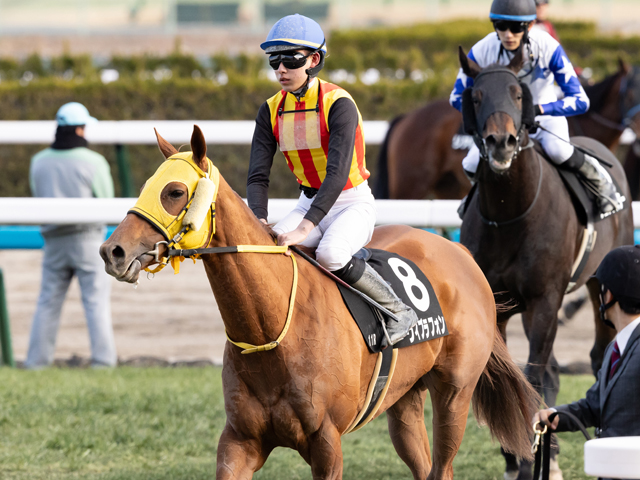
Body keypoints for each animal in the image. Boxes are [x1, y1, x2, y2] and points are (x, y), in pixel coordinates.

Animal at [100, 125, 540, 480]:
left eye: (174, 191)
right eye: (146, 185)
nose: (112, 251)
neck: (273, 327)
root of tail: (458, 251)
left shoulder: (327, 443)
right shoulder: (239, 440)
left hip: (454, 394)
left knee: (443, 462)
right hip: (403, 400)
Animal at [456, 48, 634, 479]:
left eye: (519, 94)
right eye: (476, 96)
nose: (500, 142)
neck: (511, 213)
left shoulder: (546, 300)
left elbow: (533, 374)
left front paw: (526, 460)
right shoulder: (500, 302)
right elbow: (505, 374)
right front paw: (516, 456)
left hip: (595, 283)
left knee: (592, 355)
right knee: (553, 369)